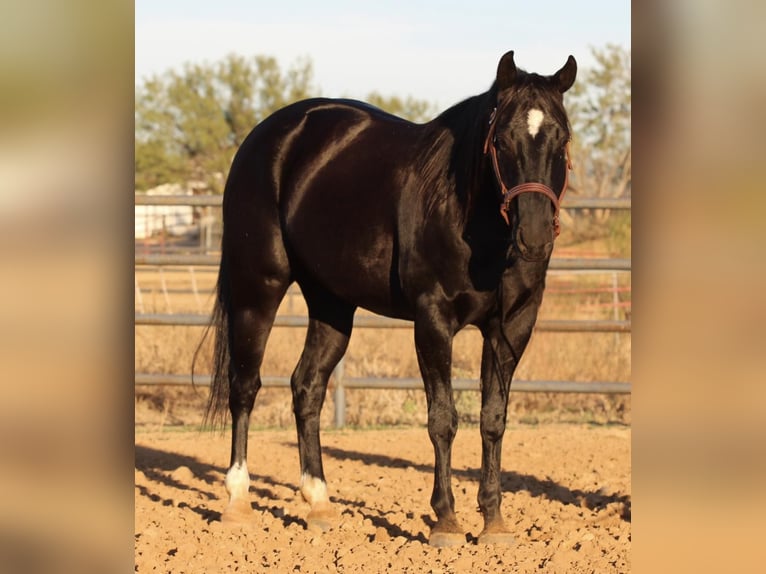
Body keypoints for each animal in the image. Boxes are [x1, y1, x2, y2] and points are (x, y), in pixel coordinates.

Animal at [198, 50, 576, 548]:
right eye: (501, 140)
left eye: (561, 138)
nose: (534, 236)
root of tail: (266, 136)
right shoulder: (433, 320)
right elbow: (443, 418)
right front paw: (446, 520)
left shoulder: (511, 325)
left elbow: (493, 418)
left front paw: (494, 521)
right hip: (257, 288)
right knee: (244, 386)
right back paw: (238, 502)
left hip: (331, 304)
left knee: (307, 387)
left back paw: (319, 503)